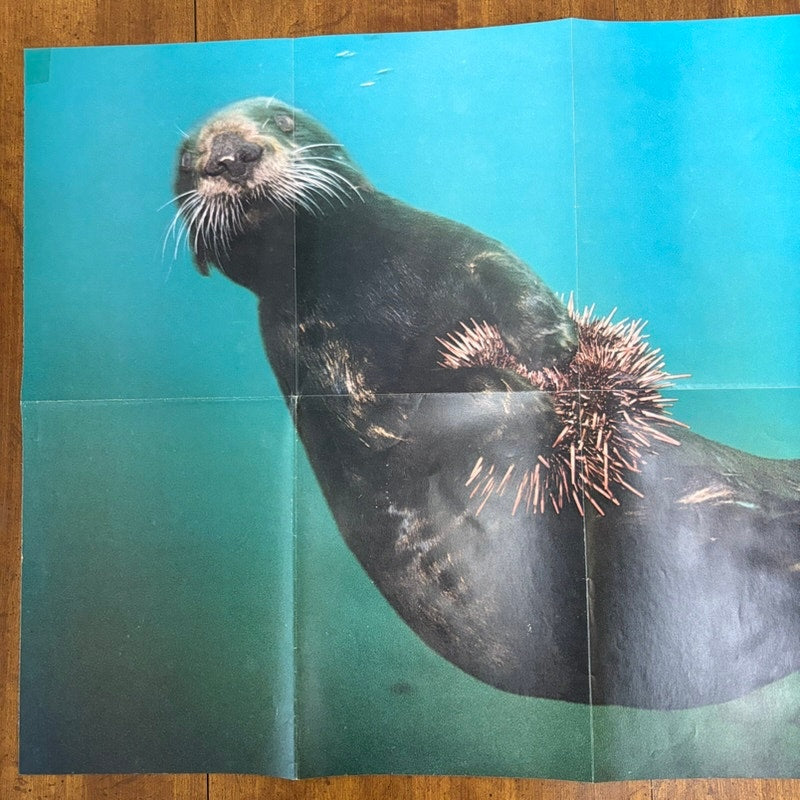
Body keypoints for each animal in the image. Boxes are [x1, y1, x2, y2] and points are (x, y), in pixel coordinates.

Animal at [172, 97, 800, 709]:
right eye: (184, 158)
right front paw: (510, 388)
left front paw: (552, 347)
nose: (230, 155)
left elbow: (503, 274)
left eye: (282, 120)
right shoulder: (320, 364)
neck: (361, 288)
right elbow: (395, 415)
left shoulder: (452, 244)